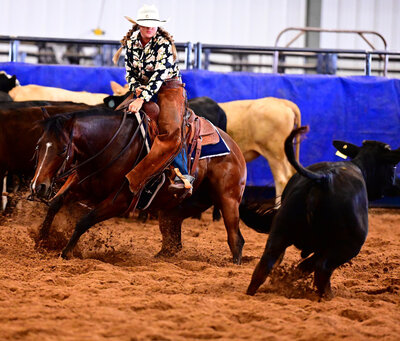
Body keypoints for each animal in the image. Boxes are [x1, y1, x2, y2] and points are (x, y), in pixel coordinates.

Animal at [30, 106, 247, 262]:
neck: (109, 145)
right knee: (173, 243)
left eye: (62, 149)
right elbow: (55, 204)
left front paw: (66, 252)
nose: (38, 186)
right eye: (38, 145)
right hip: (176, 209)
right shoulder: (82, 183)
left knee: (236, 239)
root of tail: (233, 146)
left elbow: (85, 220)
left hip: (228, 201)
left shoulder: (120, 201)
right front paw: (41, 241)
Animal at [245, 125, 400, 298]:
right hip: (348, 246)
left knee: (265, 264)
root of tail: (324, 178)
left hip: (280, 231)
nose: (396, 183)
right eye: (393, 165)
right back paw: (327, 296)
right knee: (322, 268)